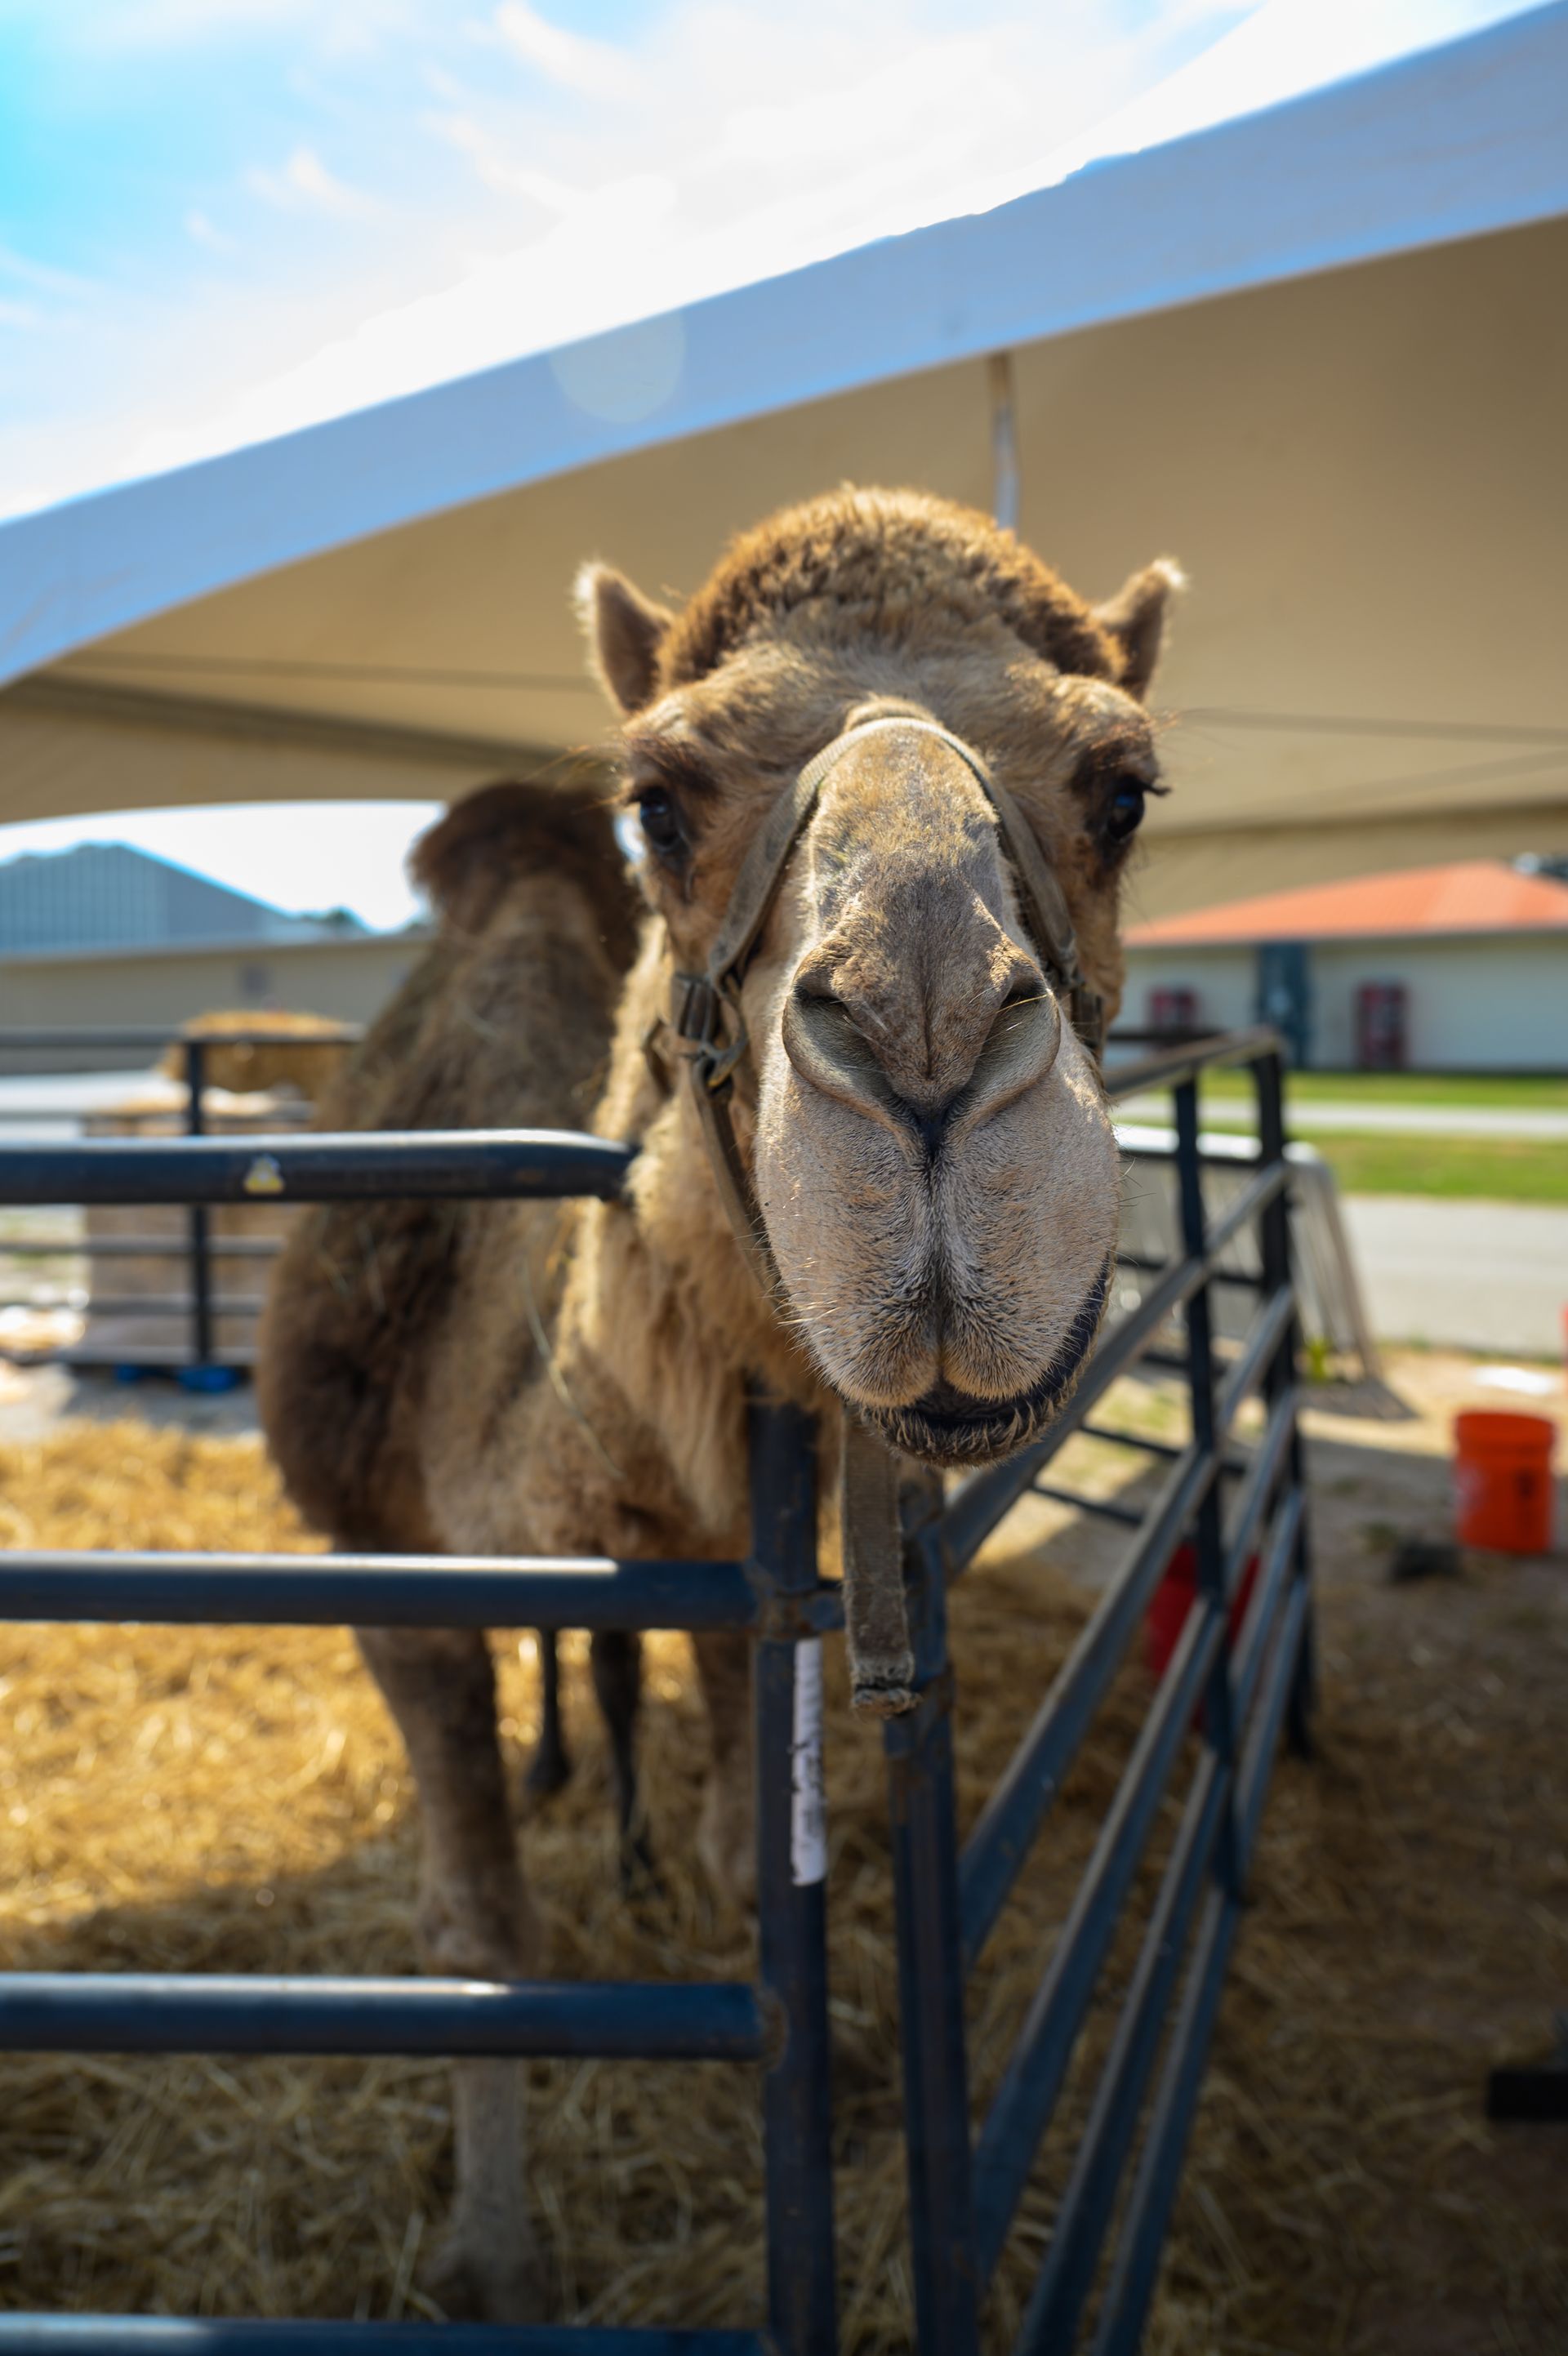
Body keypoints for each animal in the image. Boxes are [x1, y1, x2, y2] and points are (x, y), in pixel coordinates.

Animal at [260, 486, 1179, 2320]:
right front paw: (493, 2254)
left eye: (1122, 789)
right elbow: (476, 1939)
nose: (926, 1037)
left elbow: (759, 1855)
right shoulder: (381, 1558)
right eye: (659, 799)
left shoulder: (747, 1561)